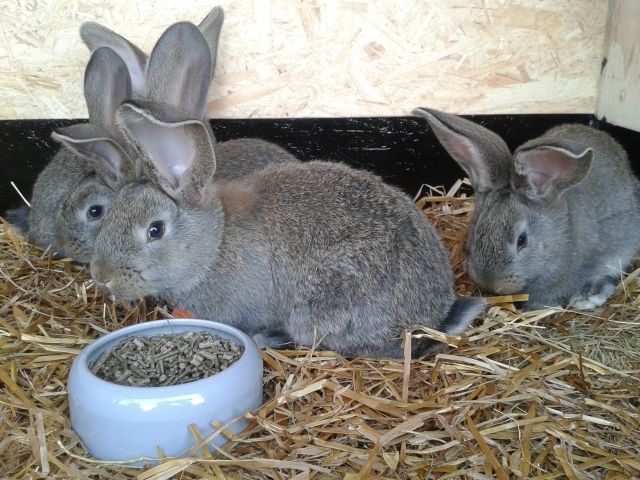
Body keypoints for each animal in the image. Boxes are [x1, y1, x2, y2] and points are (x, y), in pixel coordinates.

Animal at [88, 23, 484, 359]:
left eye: (155, 230)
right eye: (111, 212)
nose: (101, 277)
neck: (214, 245)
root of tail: (432, 319)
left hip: (322, 307)